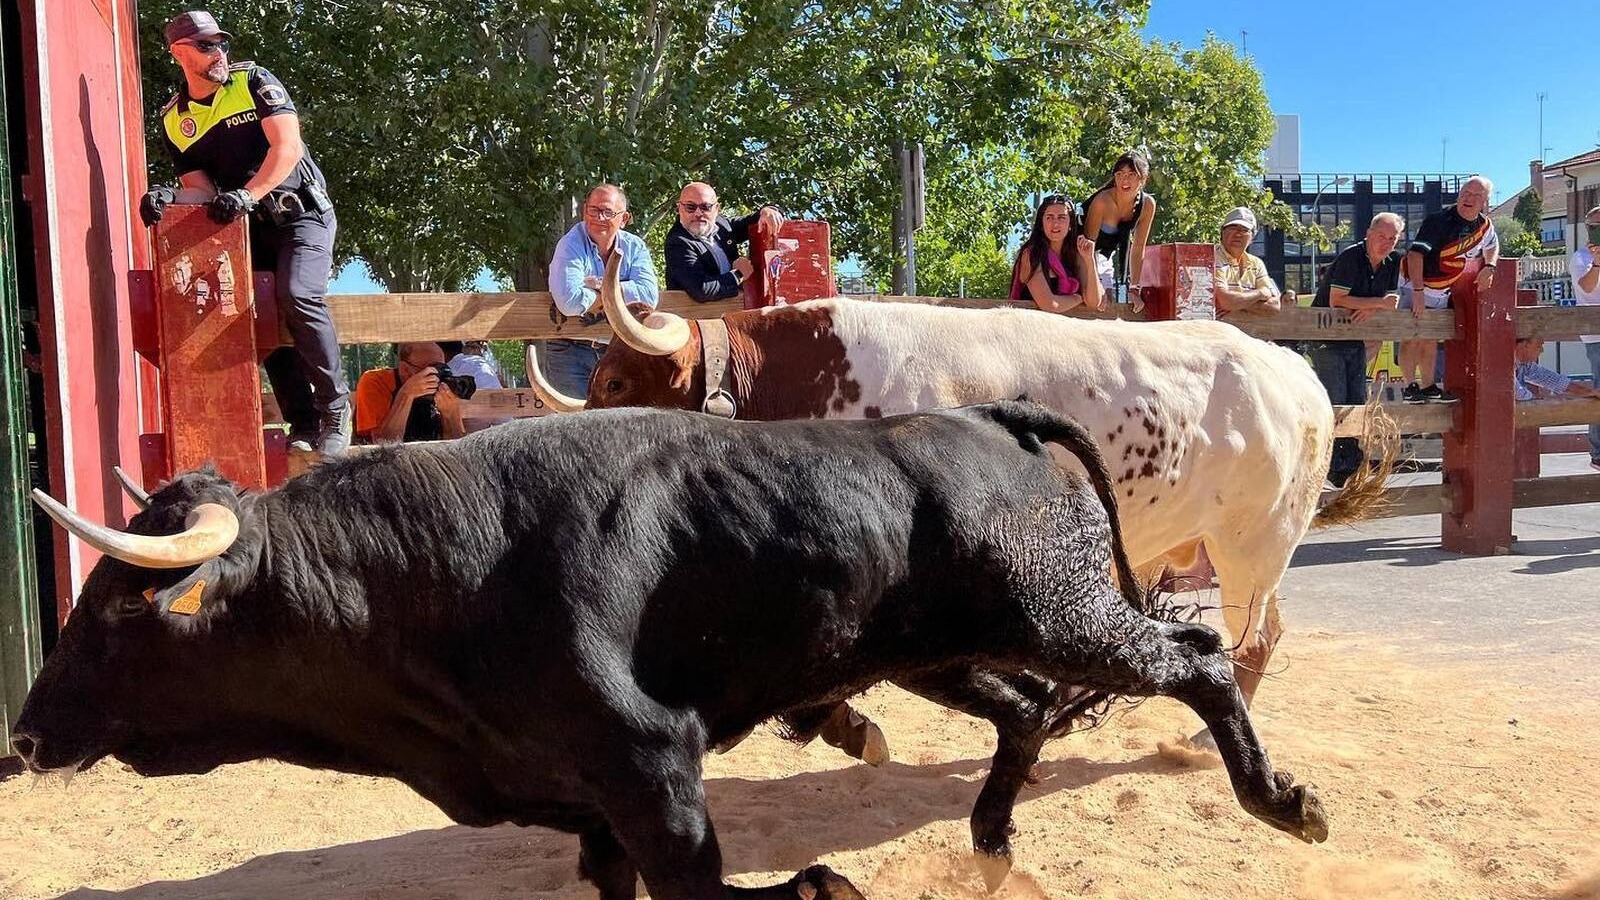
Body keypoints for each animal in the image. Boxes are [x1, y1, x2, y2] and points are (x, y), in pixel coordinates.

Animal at [12, 403, 1324, 890]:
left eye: (123, 610)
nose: (21, 738)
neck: (431, 577)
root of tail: (992, 419)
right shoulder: (593, 809)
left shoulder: (653, 776)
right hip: (934, 652)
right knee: (1019, 711)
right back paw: (992, 841)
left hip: (1065, 615)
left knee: (1196, 663)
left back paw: (1283, 804)